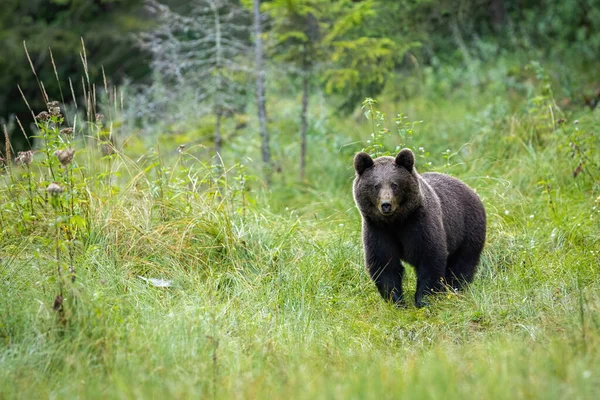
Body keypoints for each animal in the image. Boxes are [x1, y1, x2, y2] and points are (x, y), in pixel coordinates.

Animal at [354, 148, 486, 308]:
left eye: (395, 184)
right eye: (376, 185)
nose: (386, 204)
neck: (396, 222)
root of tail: (470, 189)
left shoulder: (419, 224)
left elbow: (429, 258)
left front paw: (423, 299)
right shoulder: (378, 229)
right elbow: (384, 263)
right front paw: (396, 301)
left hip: (467, 228)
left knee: (463, 262)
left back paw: (455, 288)